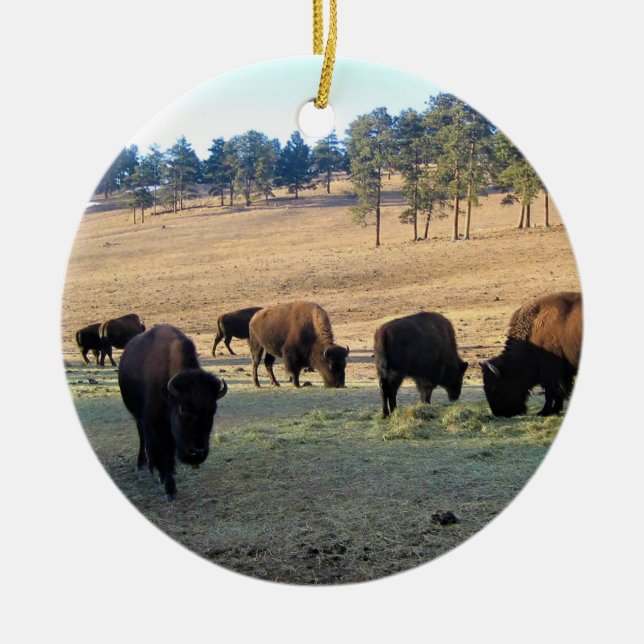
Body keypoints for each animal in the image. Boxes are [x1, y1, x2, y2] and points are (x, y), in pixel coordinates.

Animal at [118, 324, 228, 501]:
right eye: (182, 409)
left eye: (213, 410)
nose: (197, 452)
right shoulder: (158, 425)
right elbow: (165, 453)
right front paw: (170, 490)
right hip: (138, 417)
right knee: (143, 437)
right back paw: (143, 465)